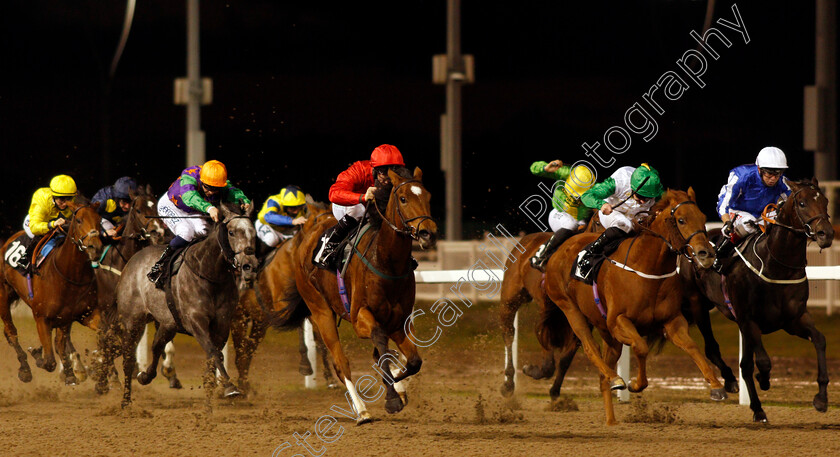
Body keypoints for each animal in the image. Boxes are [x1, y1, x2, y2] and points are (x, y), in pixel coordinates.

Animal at [0, 201, 104, 382]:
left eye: (99, 220)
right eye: (78, 220)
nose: (95, 248)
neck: (69, 274)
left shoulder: (85, 314)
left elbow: (106, 335)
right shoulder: (41, 318)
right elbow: (49, 362)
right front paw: (37, 355)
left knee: (59, 342)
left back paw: (70, 374)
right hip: (3, 294)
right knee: (11, 332)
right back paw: (25, 369)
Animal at [97, 203, 256, 406]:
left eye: (253, 232)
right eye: (232, 232)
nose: (249, 265)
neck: (209, 273)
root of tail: (130, 263)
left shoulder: (222, 324)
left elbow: (215, 355)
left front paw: (211, 397)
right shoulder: (195, 321)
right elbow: (212, 350)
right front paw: (230, 388)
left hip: (167, 323)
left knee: (156, 346)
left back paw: (145, 376)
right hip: (132, 321)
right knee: (127, 357)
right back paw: (125, 401)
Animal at [292, 167, 436, 424]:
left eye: (427, 197)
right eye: (403, 198)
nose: (428, 233)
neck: (387, 263)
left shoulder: (399, 321)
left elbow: (413, 361)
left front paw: (398, 385)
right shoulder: (360, 317)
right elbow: (379, 341)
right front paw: (392, 398)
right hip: (320, 311)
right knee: (341, 363)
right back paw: (361, 411)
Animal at [540, 188, 724, 424]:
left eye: (702, 217)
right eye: (681, 220)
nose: (706, 254)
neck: (648, 266)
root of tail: (559, 249)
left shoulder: (672, 320)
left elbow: (691, 346)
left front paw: (716, 386)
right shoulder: (619, 321)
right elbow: (641, 347)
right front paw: (635, 383)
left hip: (606, 331)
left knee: (603, 374)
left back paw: (611, 420)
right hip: (570, 309)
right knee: (590, 348)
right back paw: (615, 378)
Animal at [684, 177, 832, 420]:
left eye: (825, 201)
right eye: (802, 203)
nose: (825, 234)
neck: (776, 265)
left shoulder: (793, 319)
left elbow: (819, 340)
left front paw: (821, 398)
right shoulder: (748, 319)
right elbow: (762, 361)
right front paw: (763, 380)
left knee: (743, 365)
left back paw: (757, 408)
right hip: (698, 305)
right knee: (712, 348)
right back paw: (731, 383)